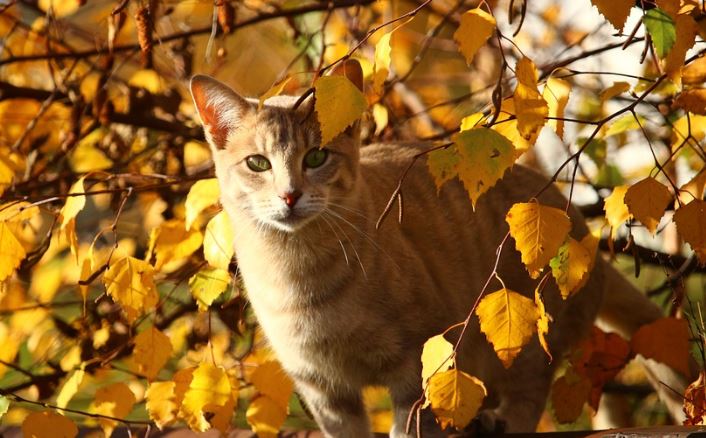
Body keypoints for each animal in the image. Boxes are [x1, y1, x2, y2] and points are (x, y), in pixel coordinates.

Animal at [190, 60, 684, 436]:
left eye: (316, 157)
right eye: (258, 163)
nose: (290, 195)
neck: (298, 275)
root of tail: (585, 235)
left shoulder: (419, 366)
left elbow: (410, 427)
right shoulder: (325, 393)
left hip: (527, 333)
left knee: (529, 391)